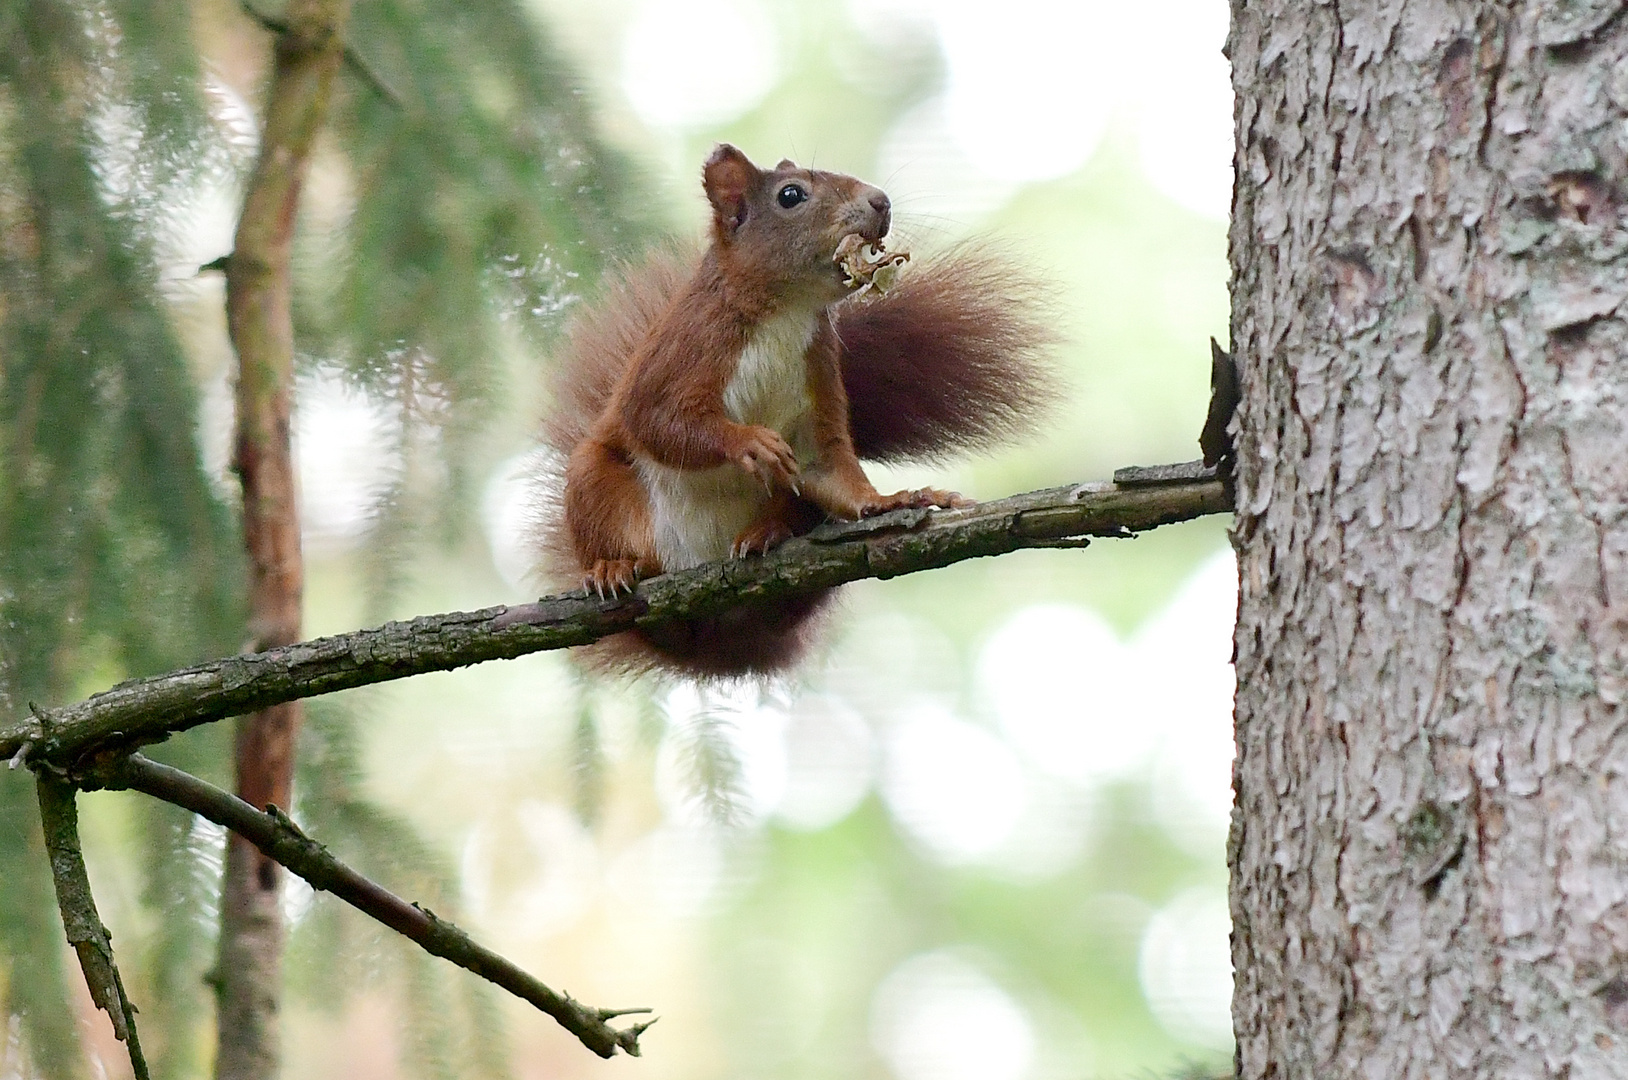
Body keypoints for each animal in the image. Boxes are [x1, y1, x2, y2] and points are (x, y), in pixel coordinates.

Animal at [543, 148, 1054, 680]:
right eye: (791, 195)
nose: (882, 202)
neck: (786, 310)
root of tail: (714, 638)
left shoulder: (820, 368)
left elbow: (827, 467)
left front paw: (891, 501)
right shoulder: (681, 349)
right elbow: (657, 421)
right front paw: (749, 442)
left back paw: (766, 534)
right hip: (596, 487)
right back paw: (616, 568)